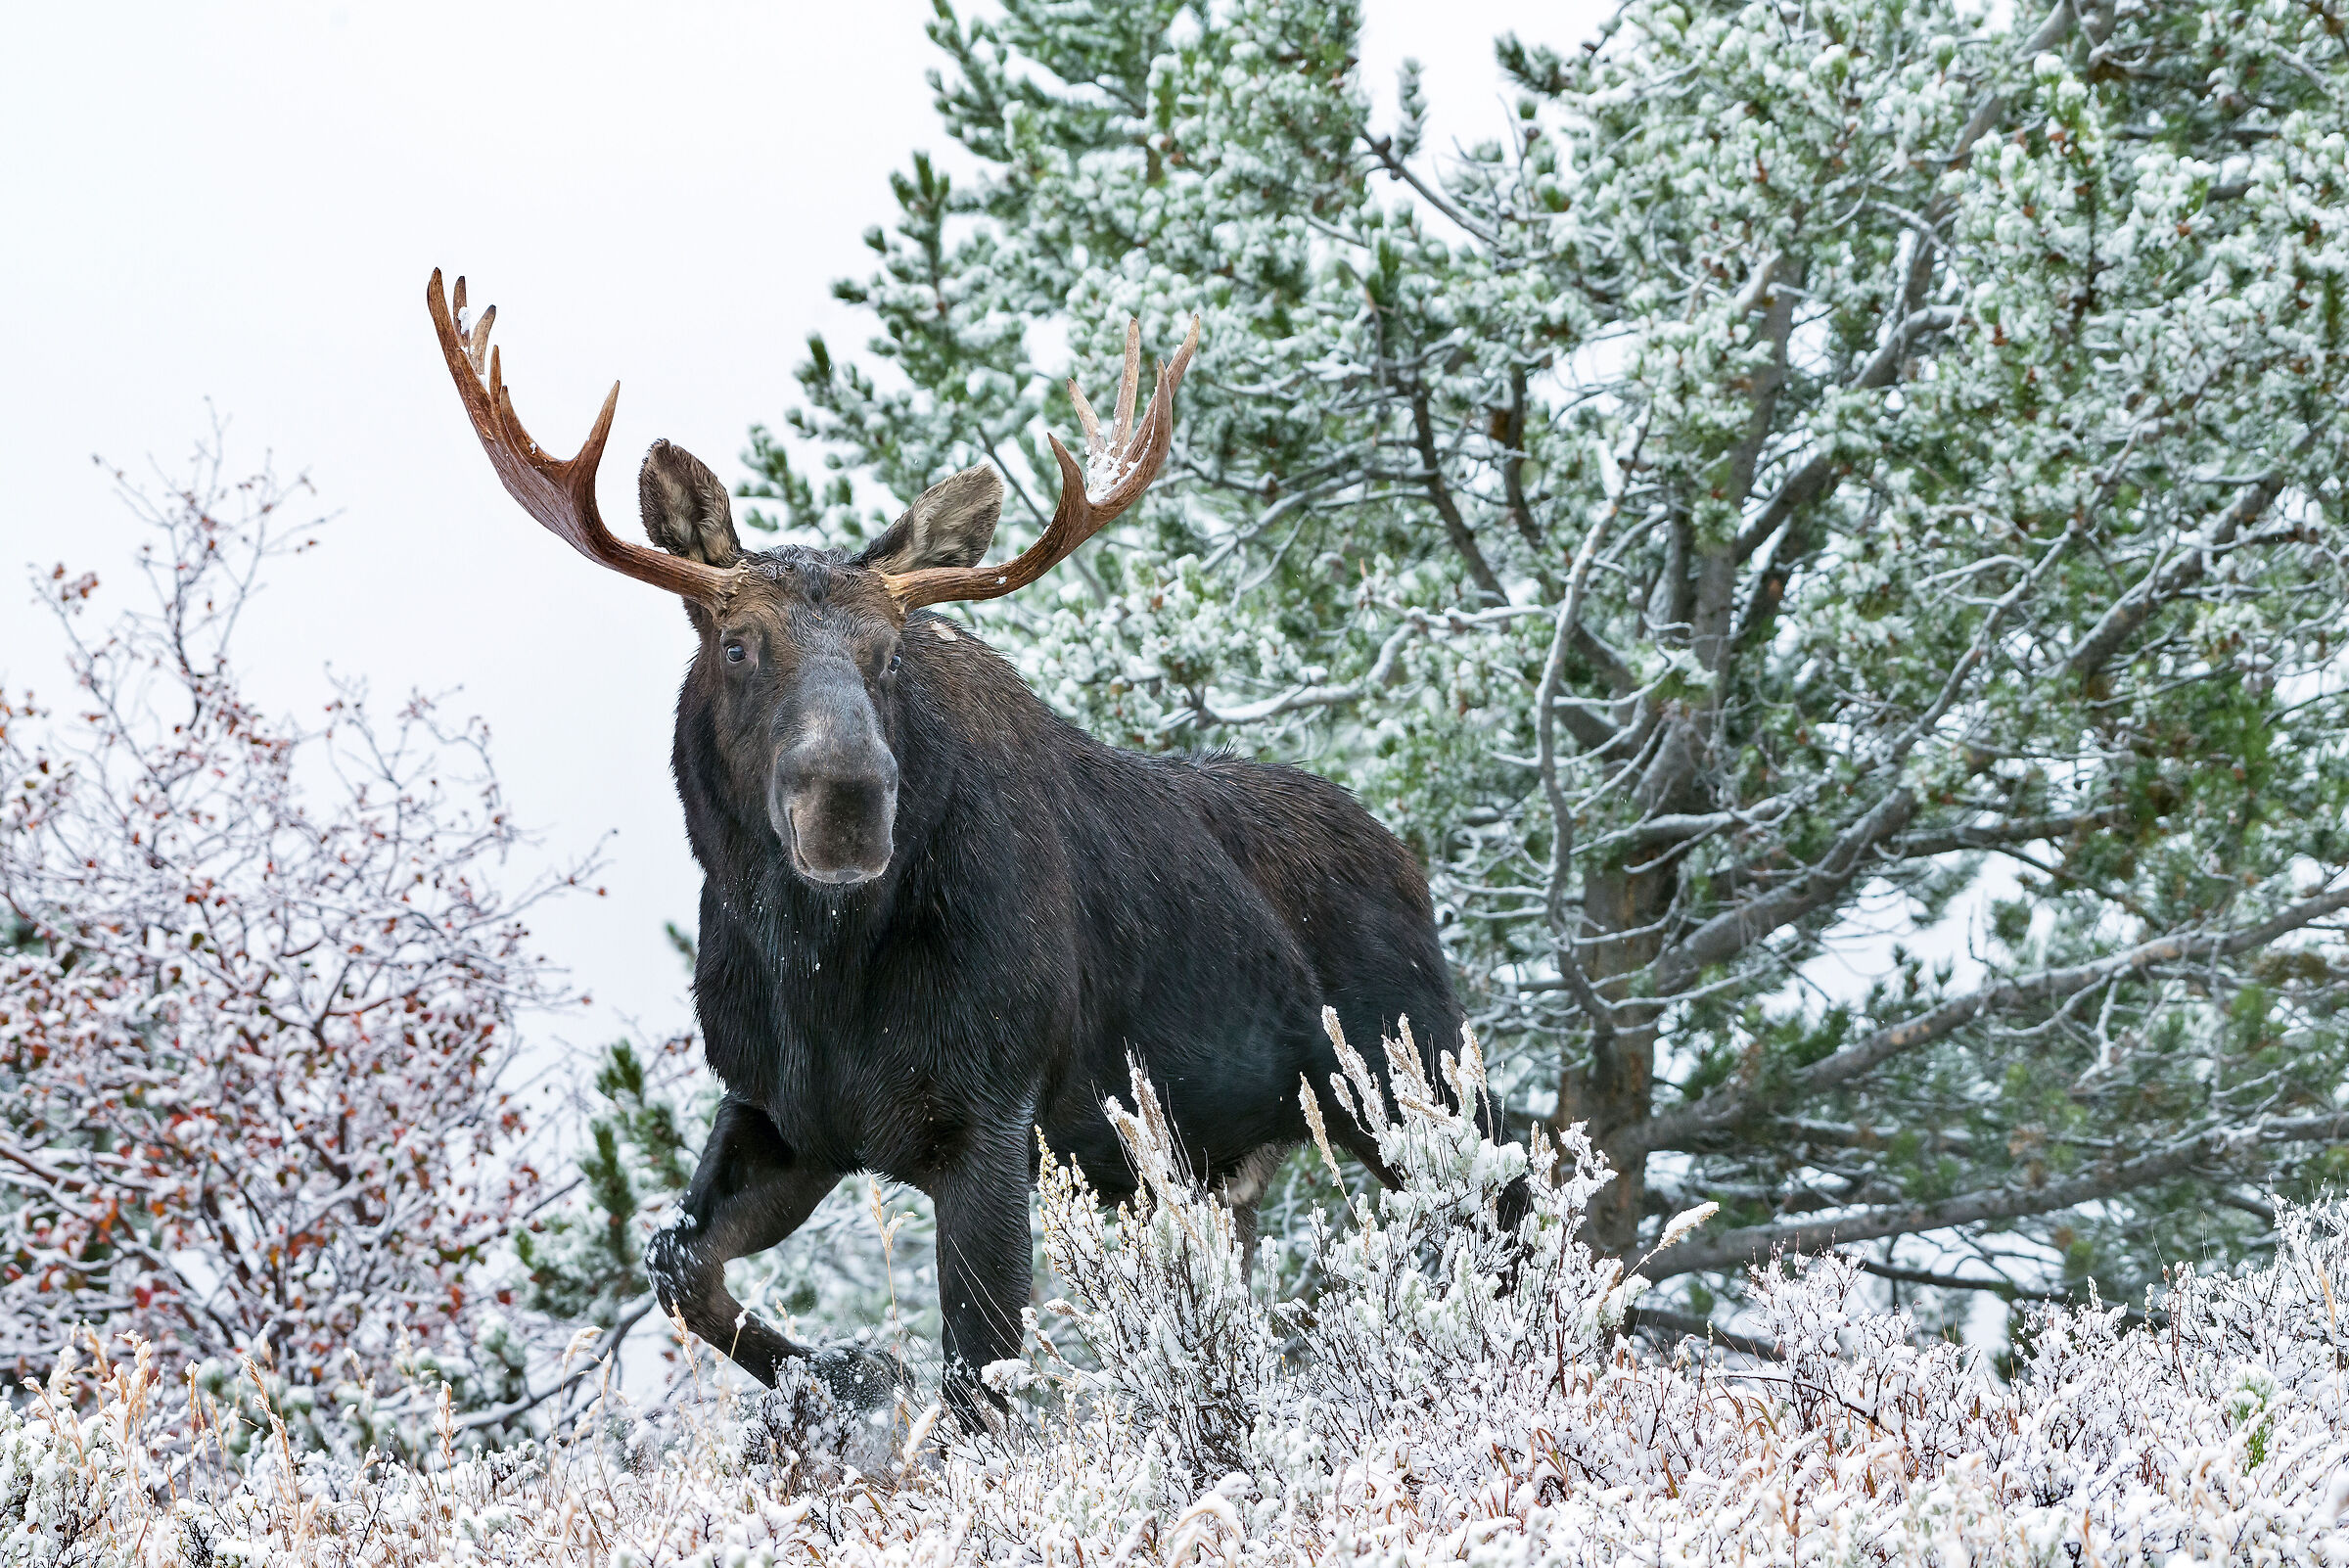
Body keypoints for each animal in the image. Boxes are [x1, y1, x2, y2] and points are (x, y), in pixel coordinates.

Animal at [425, 270, 1512, 1425]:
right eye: (739, 644)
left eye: (893, 653)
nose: (849, 801)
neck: (816, 976)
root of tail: (1409, 861)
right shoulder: (785, 1110)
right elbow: (681, 1269)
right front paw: (843, 1374)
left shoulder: (990, 1115)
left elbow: (978, 1386)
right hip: (1233, 1172)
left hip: (1417, 1072)